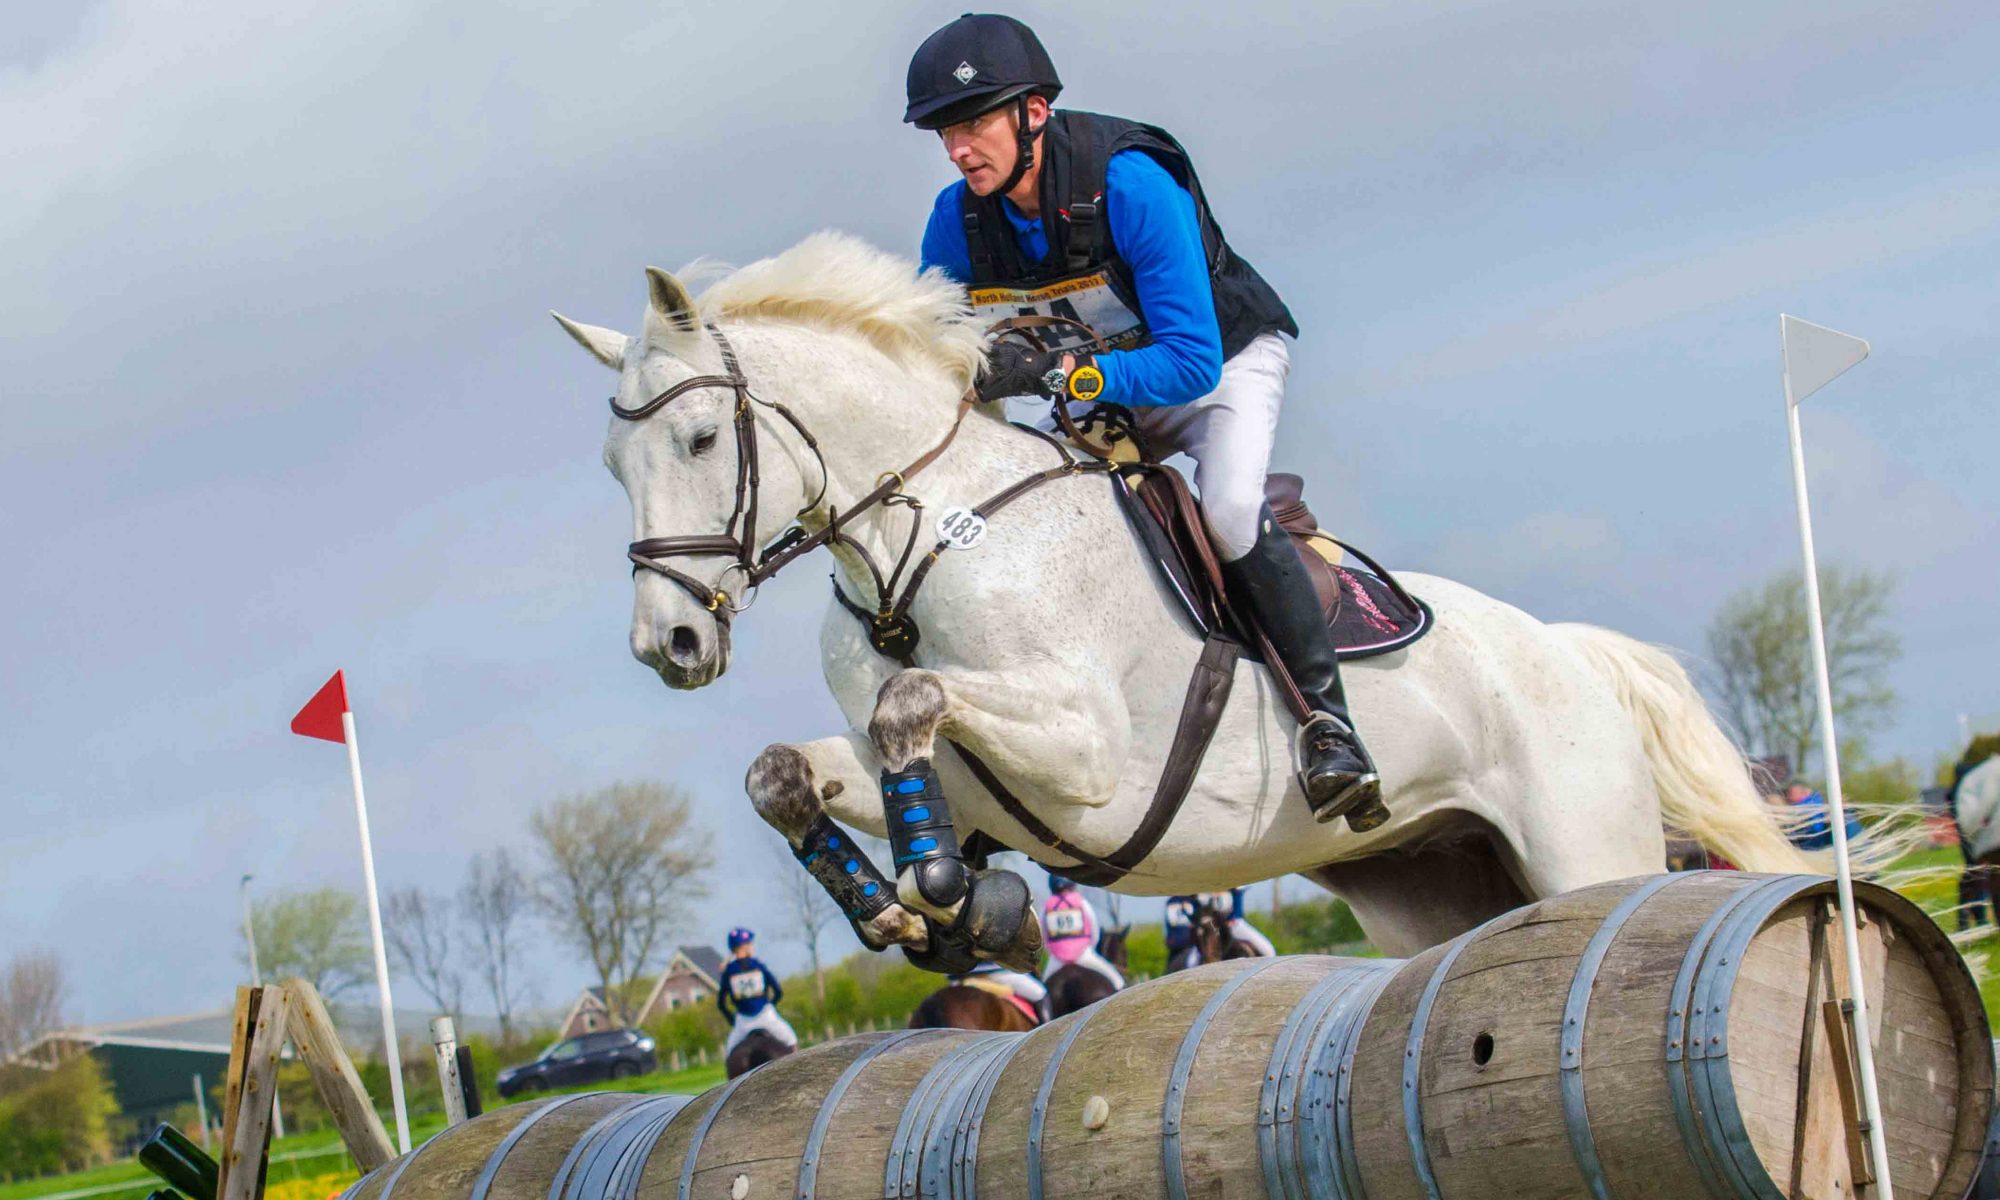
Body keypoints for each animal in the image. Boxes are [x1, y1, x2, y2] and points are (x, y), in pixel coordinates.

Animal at [556, 232, 1824, 964]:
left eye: (701, 439)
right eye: (612, 466)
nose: (668, 643)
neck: (914, 553)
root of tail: (1570, 652)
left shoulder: (1082, 750)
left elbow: (907, 701)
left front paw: (950, 897)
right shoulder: (952, 772)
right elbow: (787, 772)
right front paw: (905, 911)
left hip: (1583, 847)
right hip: (1438, 883)